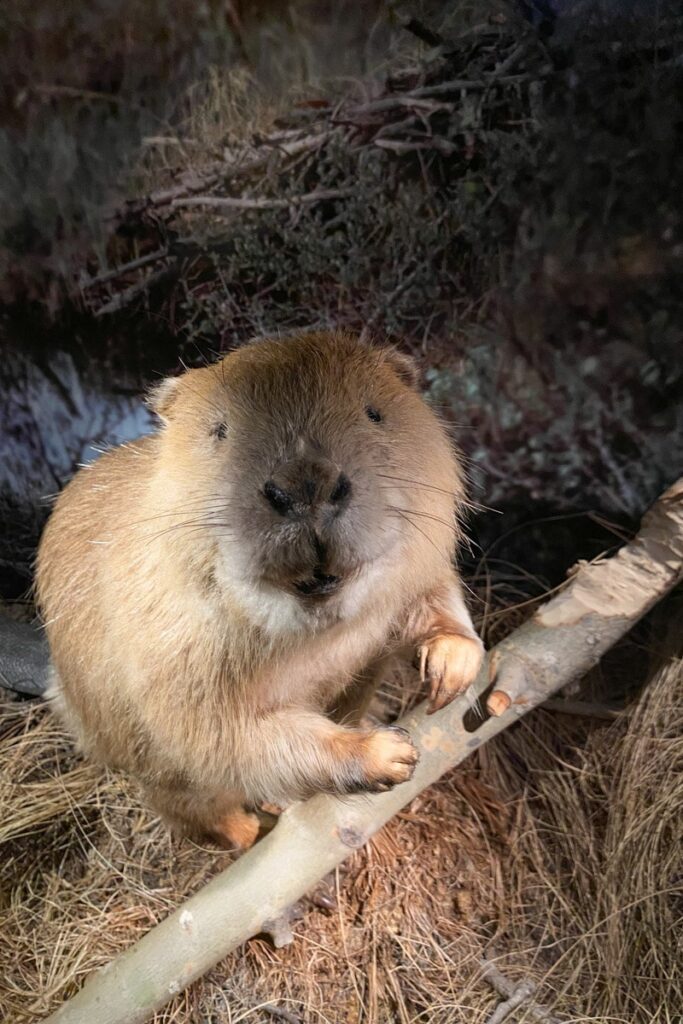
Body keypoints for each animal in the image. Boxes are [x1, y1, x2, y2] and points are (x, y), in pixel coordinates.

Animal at [37, 329, 483, 847]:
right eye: (221, 431)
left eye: (374, 412)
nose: (306, 485)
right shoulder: (168, 656)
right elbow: (221, 739)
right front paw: (386, 754)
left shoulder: (415, 565)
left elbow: (434, 595)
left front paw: (450, 667)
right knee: (189, 805)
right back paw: (248, 830)